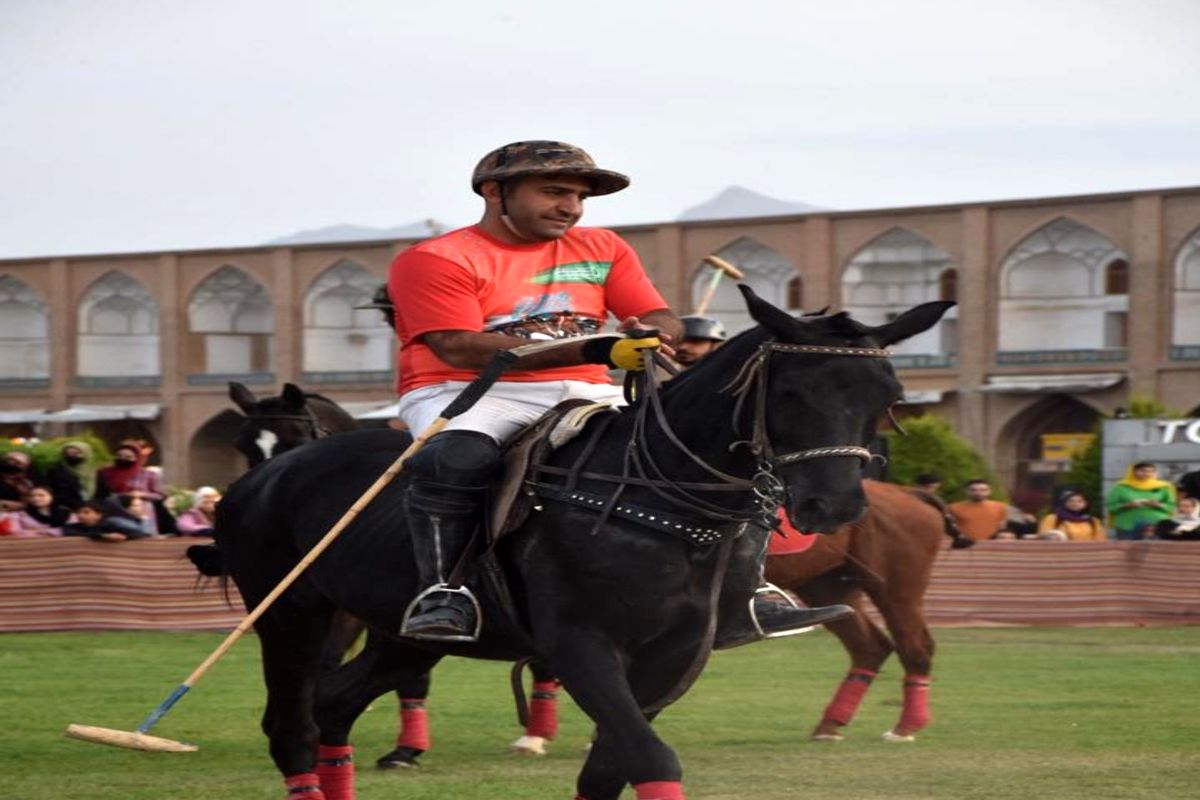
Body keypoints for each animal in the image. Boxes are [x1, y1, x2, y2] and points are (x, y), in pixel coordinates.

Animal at [211, 289, 950, 800]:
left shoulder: (673, 658)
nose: (833, 506)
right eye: (792, 390)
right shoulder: (579, 642)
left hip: (398, 632)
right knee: (295, 725)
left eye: (888, 395)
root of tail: (259, 484)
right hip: (294, 613)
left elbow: (611, 766)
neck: (654, 500)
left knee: (334, 704)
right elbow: (648, 757)